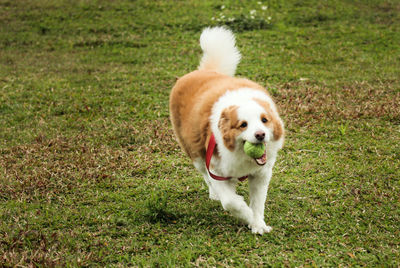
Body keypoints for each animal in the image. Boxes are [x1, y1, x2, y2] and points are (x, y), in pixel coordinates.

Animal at [170, 26, 284, 233]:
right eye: (243, 124)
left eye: (264, 120)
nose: (261, 135)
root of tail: (202, 71)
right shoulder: (216, 168)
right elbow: (231, 202)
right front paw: (247, 216)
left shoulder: (261, 174)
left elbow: (258, 203)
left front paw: (258, 224)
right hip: (196, 154)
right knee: (205, 176)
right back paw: (214, 194)